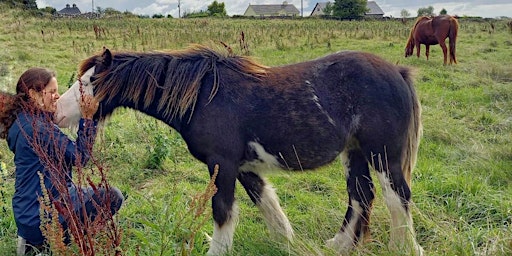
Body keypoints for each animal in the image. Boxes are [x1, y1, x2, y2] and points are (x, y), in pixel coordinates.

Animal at [56, 45, 424, 255]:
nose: (58, 113)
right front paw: (287, 244)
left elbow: (223, 212)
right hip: (355, 153)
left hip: (383, 155)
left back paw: (405, 248)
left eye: (88, 82)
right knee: (361, 195)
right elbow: (268, 206)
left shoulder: (223, 165)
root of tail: (398, 72)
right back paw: (339, 245)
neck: (204, 95)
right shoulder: (245, 167)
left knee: (397, 197)